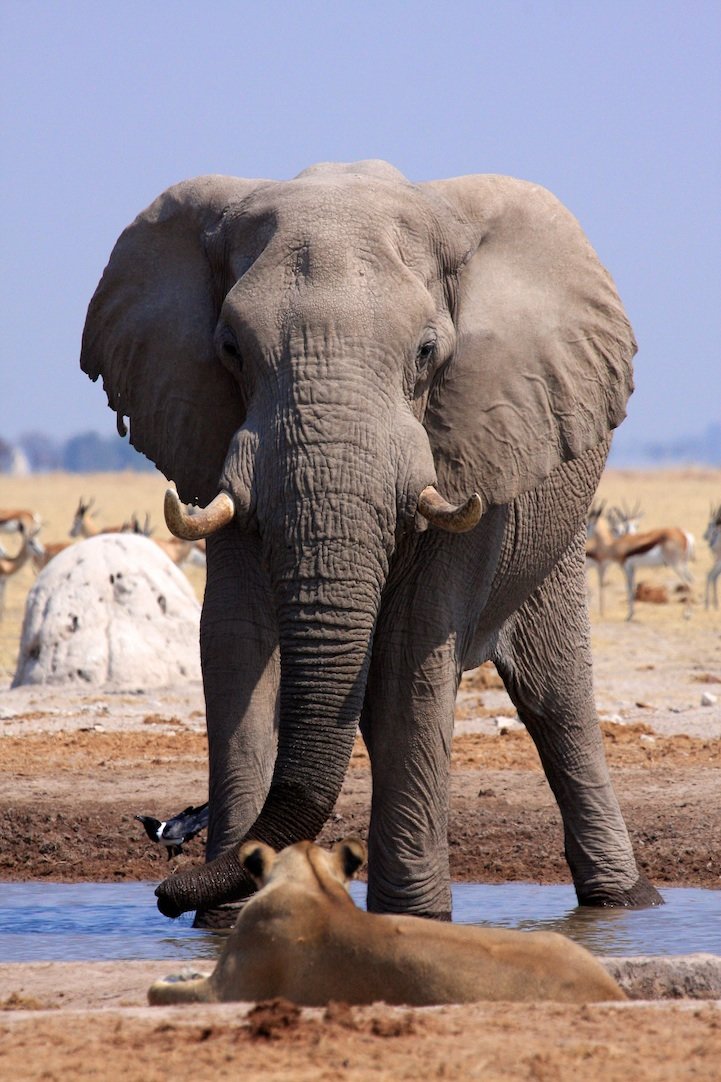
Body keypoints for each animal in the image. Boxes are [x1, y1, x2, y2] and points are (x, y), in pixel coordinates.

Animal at [80, 159, 662, 924]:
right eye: (231, 350)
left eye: (426, 352)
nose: (164, 896)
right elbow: (236, 642)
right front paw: (228, 924)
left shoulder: (470, 443)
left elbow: (412, 647)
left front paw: (413, 922)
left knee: (553, 697)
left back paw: (623, 902)